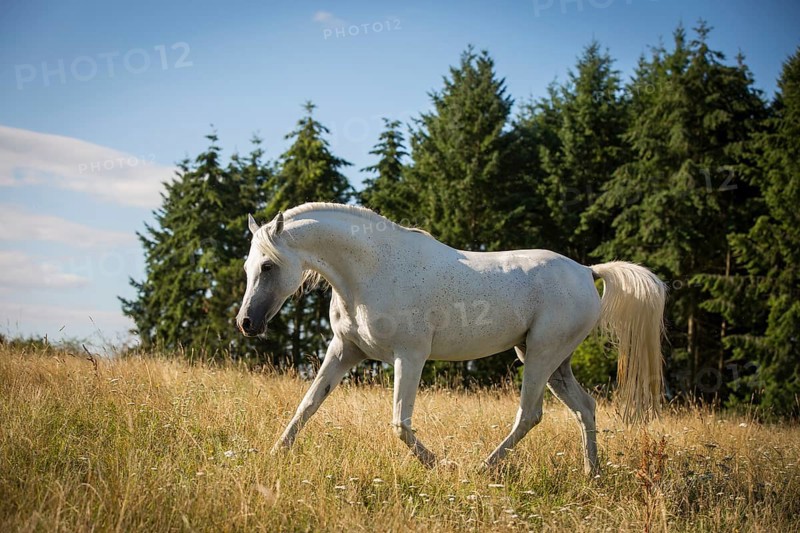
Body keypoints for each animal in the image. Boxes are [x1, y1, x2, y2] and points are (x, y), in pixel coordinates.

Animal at [236, 203, 666, 475]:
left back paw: (481, 469)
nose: (246, 323)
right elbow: (306, 406)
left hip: (542, 355)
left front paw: (441, 465)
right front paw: (273, 456)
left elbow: (400, 423)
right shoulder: (345, 351)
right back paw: (592, 475)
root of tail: (586, 270)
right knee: (585, 408)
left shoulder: (409, 356)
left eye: (268, 265)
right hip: (550, 360)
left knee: (529, 415)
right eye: (248, 266)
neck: (371, 270)